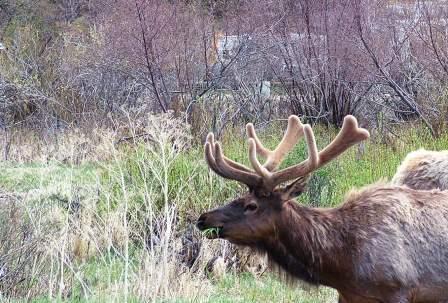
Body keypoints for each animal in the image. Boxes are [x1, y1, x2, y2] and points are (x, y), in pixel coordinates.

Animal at [197, 116, 448, 303]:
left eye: (252, 205)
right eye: (240, 196)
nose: (203, 218)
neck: (342, 265)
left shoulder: (400, 290)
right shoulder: (348, 296)